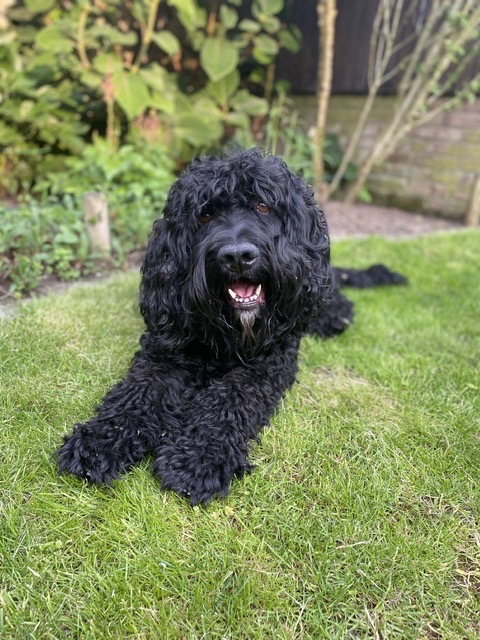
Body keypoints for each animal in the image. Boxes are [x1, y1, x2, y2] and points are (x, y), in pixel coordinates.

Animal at [57, 149, 405, 504]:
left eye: (263, 206)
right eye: (205, 215)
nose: (238, 256)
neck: (229, 333)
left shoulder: (268, 364)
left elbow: (230, 400)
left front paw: (198, 457)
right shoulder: (164, 352)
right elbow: (138, 393)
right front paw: (100, 440)